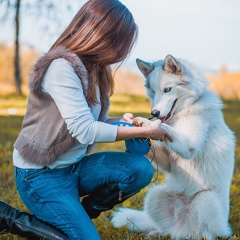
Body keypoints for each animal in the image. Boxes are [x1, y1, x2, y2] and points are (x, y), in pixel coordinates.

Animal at [111, 55, 235, 239]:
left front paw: (146, 122)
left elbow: (163, 127)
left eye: (167, 89)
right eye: (153, 91)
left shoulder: (189, 144)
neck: (186, 110)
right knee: (167, 229)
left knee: (207, 232)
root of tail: (183, 229)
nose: (154, 113)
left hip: (205, 200)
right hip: (153, 196)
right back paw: (156, 233)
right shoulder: (168, 159)